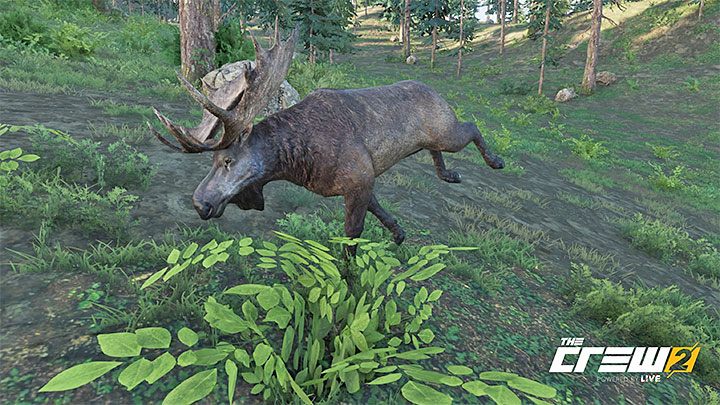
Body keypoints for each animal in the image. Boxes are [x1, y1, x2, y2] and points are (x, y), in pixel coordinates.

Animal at [148, 28, 505, 254]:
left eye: (228, 160)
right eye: (212, 161)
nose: (199, 203)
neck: (296, 162)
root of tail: (436, 92)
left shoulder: (359, 177)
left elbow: (352, 239)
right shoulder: (362, 179)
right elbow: (380, 210)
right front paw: (398, 233)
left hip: (447, 130)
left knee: (471, 125)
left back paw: (495, 161)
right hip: (432, 139)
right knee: (436, 150)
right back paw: (449, 174)